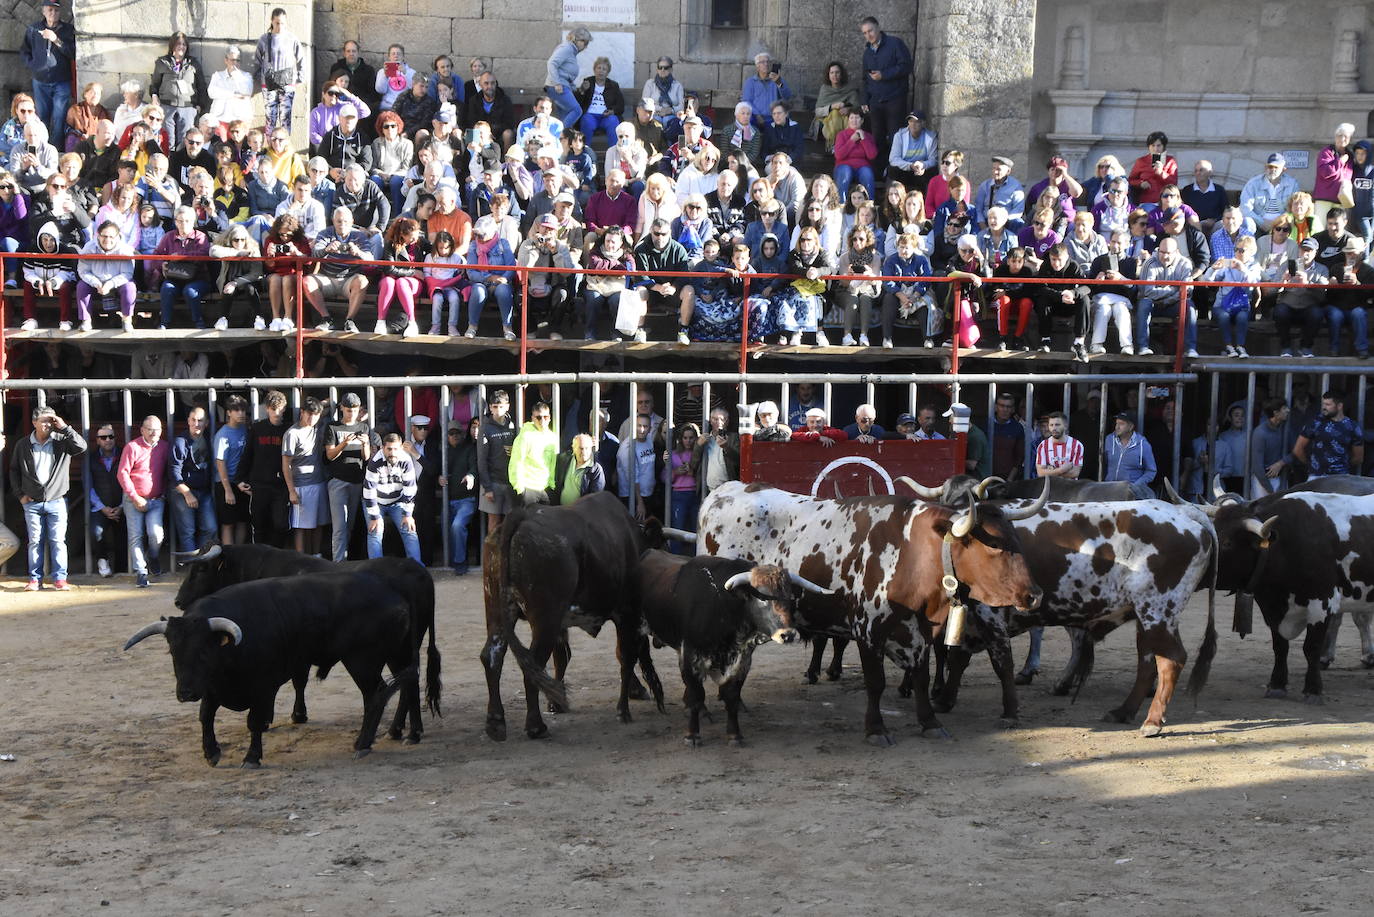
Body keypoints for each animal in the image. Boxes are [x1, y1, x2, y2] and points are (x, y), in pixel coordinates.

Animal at [173, 544, 439, 747]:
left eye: (201, 569)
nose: (178, 601)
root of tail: (418, 572)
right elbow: (298, 680)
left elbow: (296, 680)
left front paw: (287, 716)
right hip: (402, 649)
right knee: (409, 682)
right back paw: (406, 731)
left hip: (387, 653)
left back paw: (400, 732)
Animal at [703, 481, 1044, 747]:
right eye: (995, 545)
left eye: (1017, 538)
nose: (1034, 595)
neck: (912, 552)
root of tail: (723, 491)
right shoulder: (869, 632)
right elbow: (875, 681)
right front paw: (876, 728)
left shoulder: (922, 632)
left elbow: (921, 677)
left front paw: (930, 722)